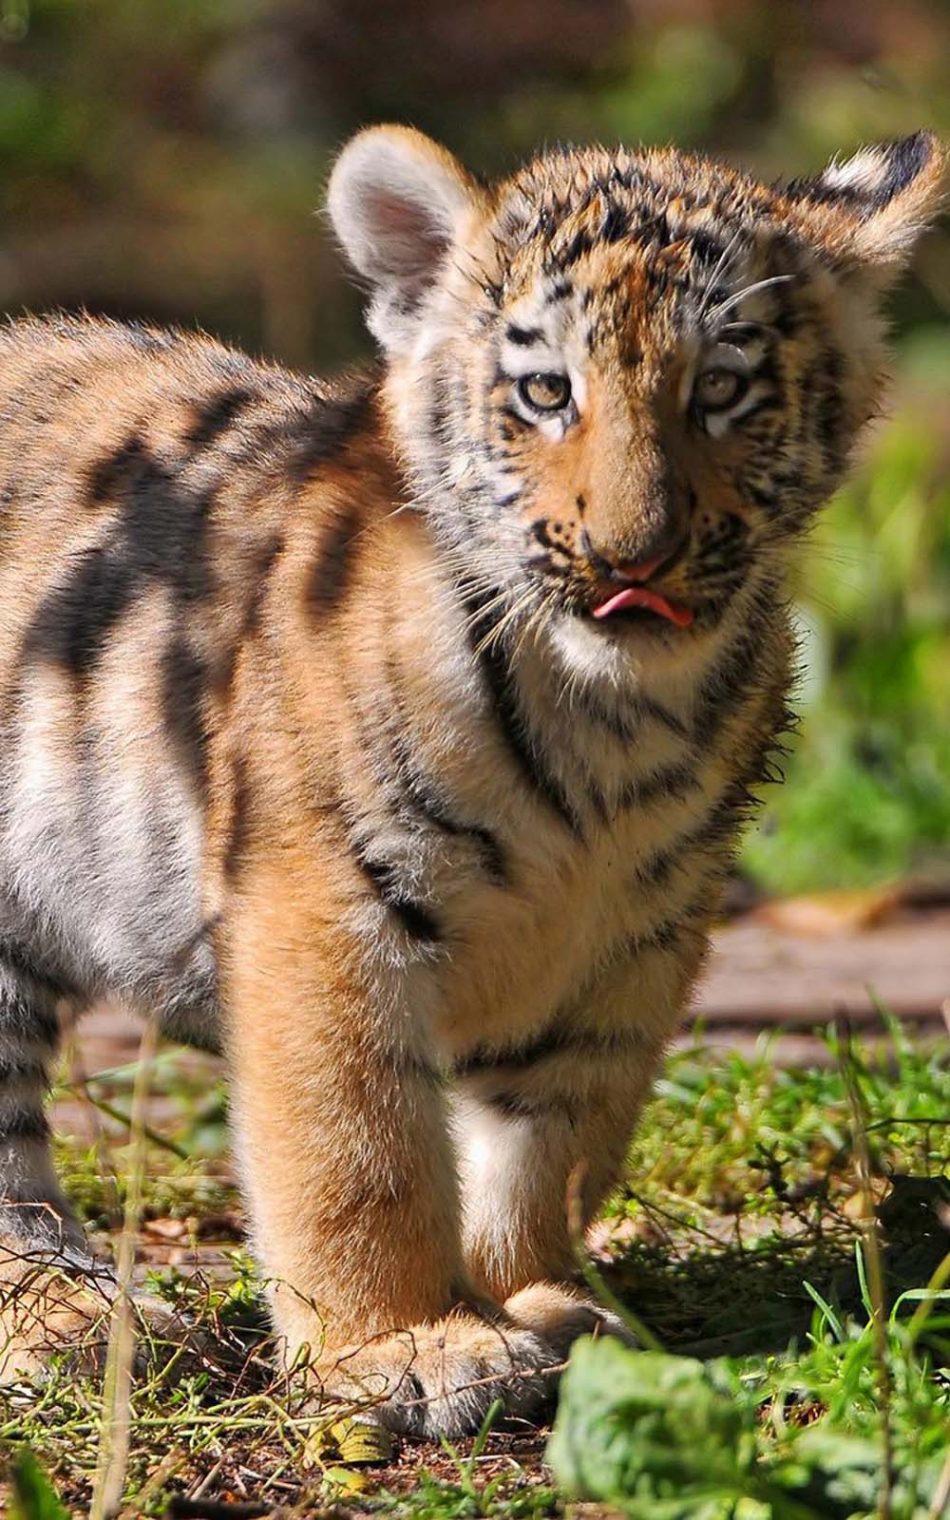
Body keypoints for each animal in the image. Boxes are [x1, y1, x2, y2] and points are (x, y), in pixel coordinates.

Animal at [0, 124, 943, 1437]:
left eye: (720, 390)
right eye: (546, 392)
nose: (632, 555)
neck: (607, 715)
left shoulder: (634, 934)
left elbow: (556, 1141)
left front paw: (536, 1296)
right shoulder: (320, 906)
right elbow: (360, 1147)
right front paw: (402, 1346)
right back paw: (74, 1321)